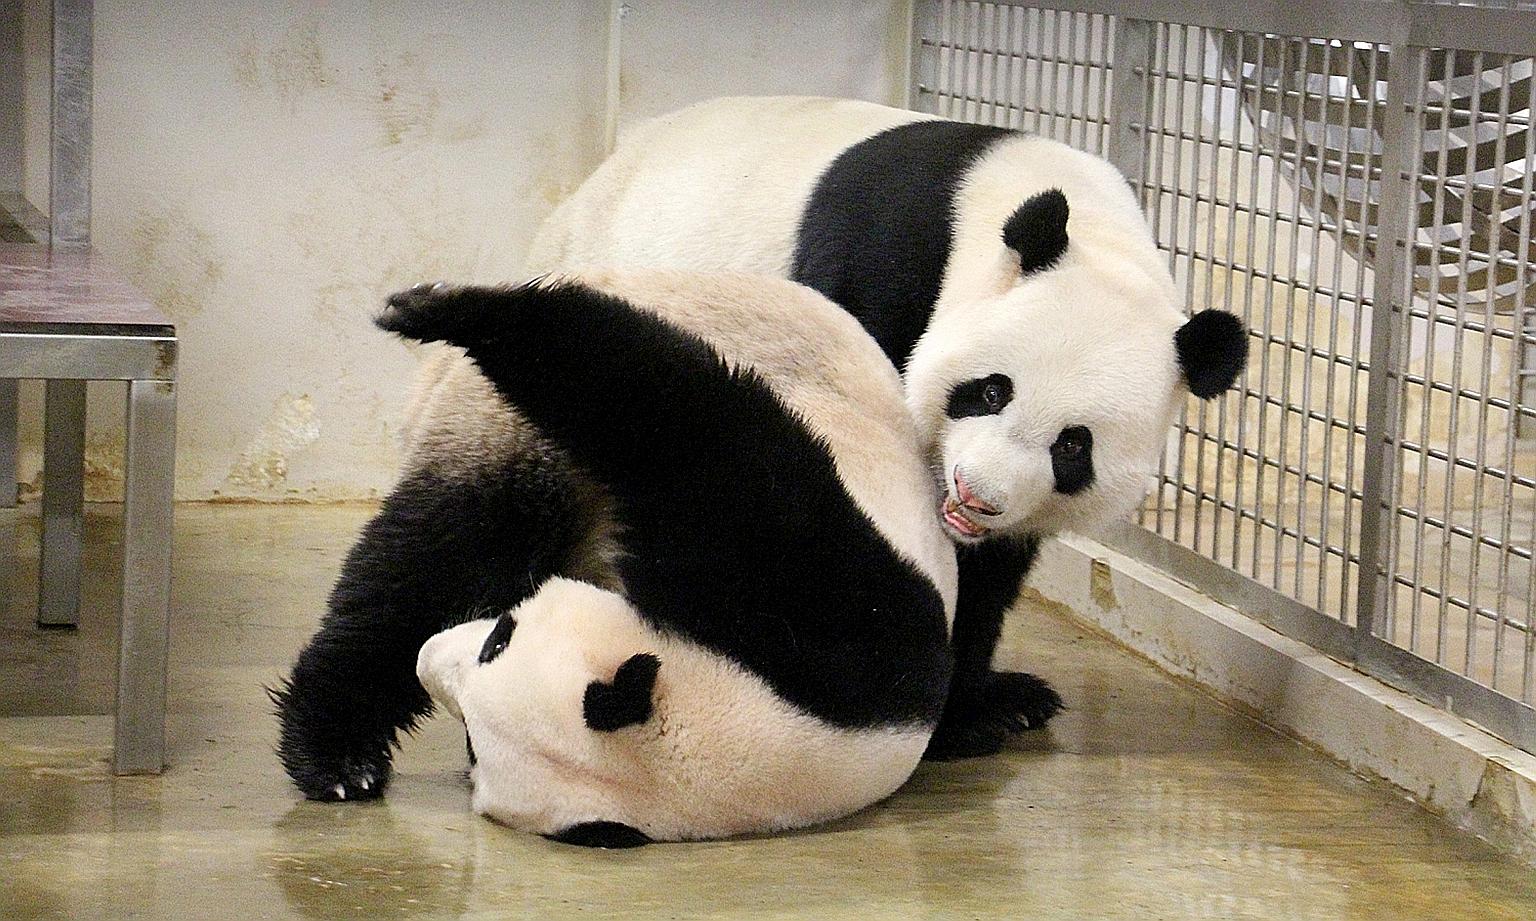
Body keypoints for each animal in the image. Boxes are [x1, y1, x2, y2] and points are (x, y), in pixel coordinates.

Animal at [273, 268, 958, 842]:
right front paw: (443, 306)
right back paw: (338, 754)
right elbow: (691, 439)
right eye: (502, 634)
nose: (431, 657)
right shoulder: (829, 610)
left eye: (472, 738)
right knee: (442, 556)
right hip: (511, 433)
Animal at [525, 95, 1249, 757]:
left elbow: (988, 573)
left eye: (1073, 446)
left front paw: (987, 703)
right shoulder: (882, 274)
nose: (976, 494)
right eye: (991, 391)